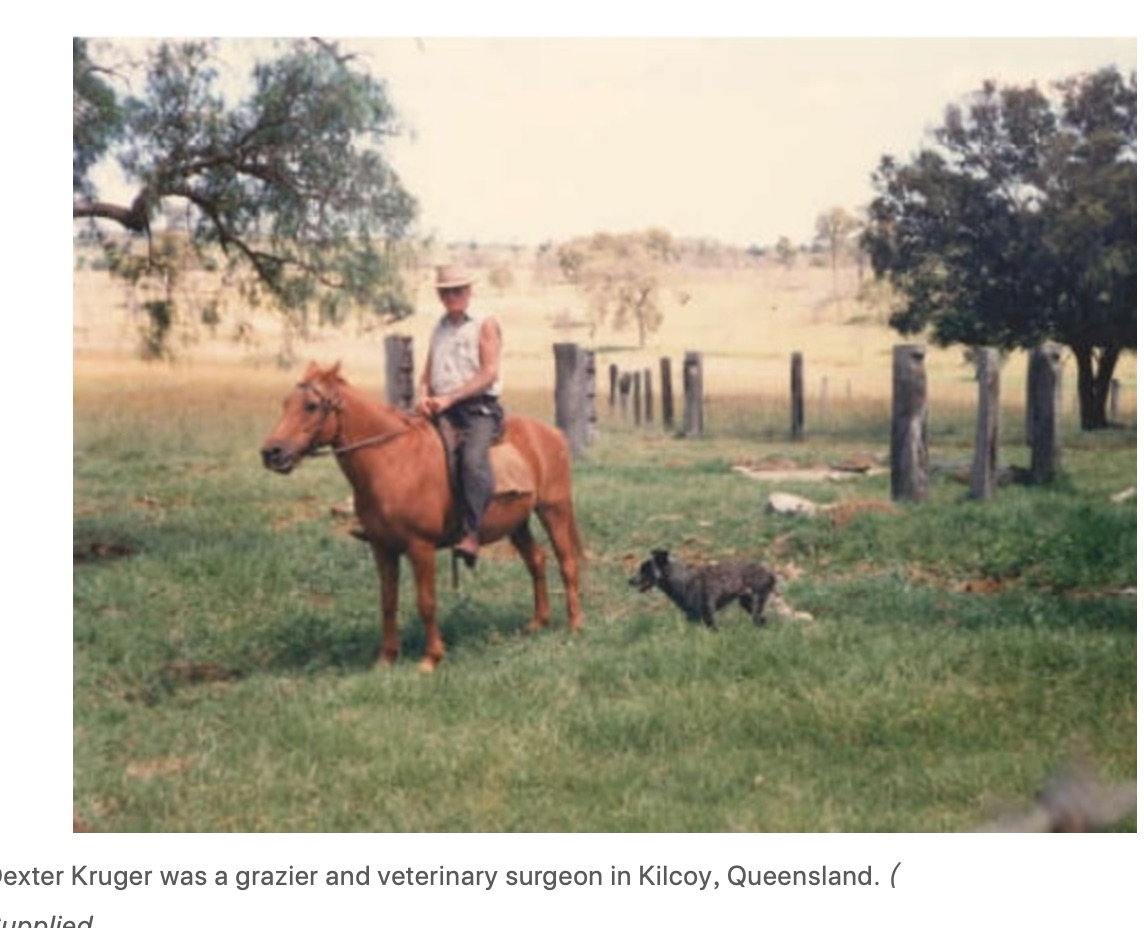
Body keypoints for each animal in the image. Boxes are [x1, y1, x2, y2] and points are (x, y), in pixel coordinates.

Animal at [260, 361, 584, 672]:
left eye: (311, 406)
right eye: (285, 403)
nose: (271, 452)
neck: (393, 460)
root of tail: (553, 434)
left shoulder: (420, 547)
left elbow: (426, 602)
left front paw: (432, 659)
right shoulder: (382, 548)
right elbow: (388, 600)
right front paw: (386, 658)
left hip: (554, 510)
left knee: (567, 562)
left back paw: (575, 625)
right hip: (517, 523)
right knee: (537, 560)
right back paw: (538, 623)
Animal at [628, 548, 777, 629]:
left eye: (646, 570)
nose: (629, 581)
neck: (682, 580)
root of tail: (770, 572)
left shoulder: (708, 616)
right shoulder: (693, 617)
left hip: (756, 603)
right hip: (747, 603)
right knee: (762, 621)